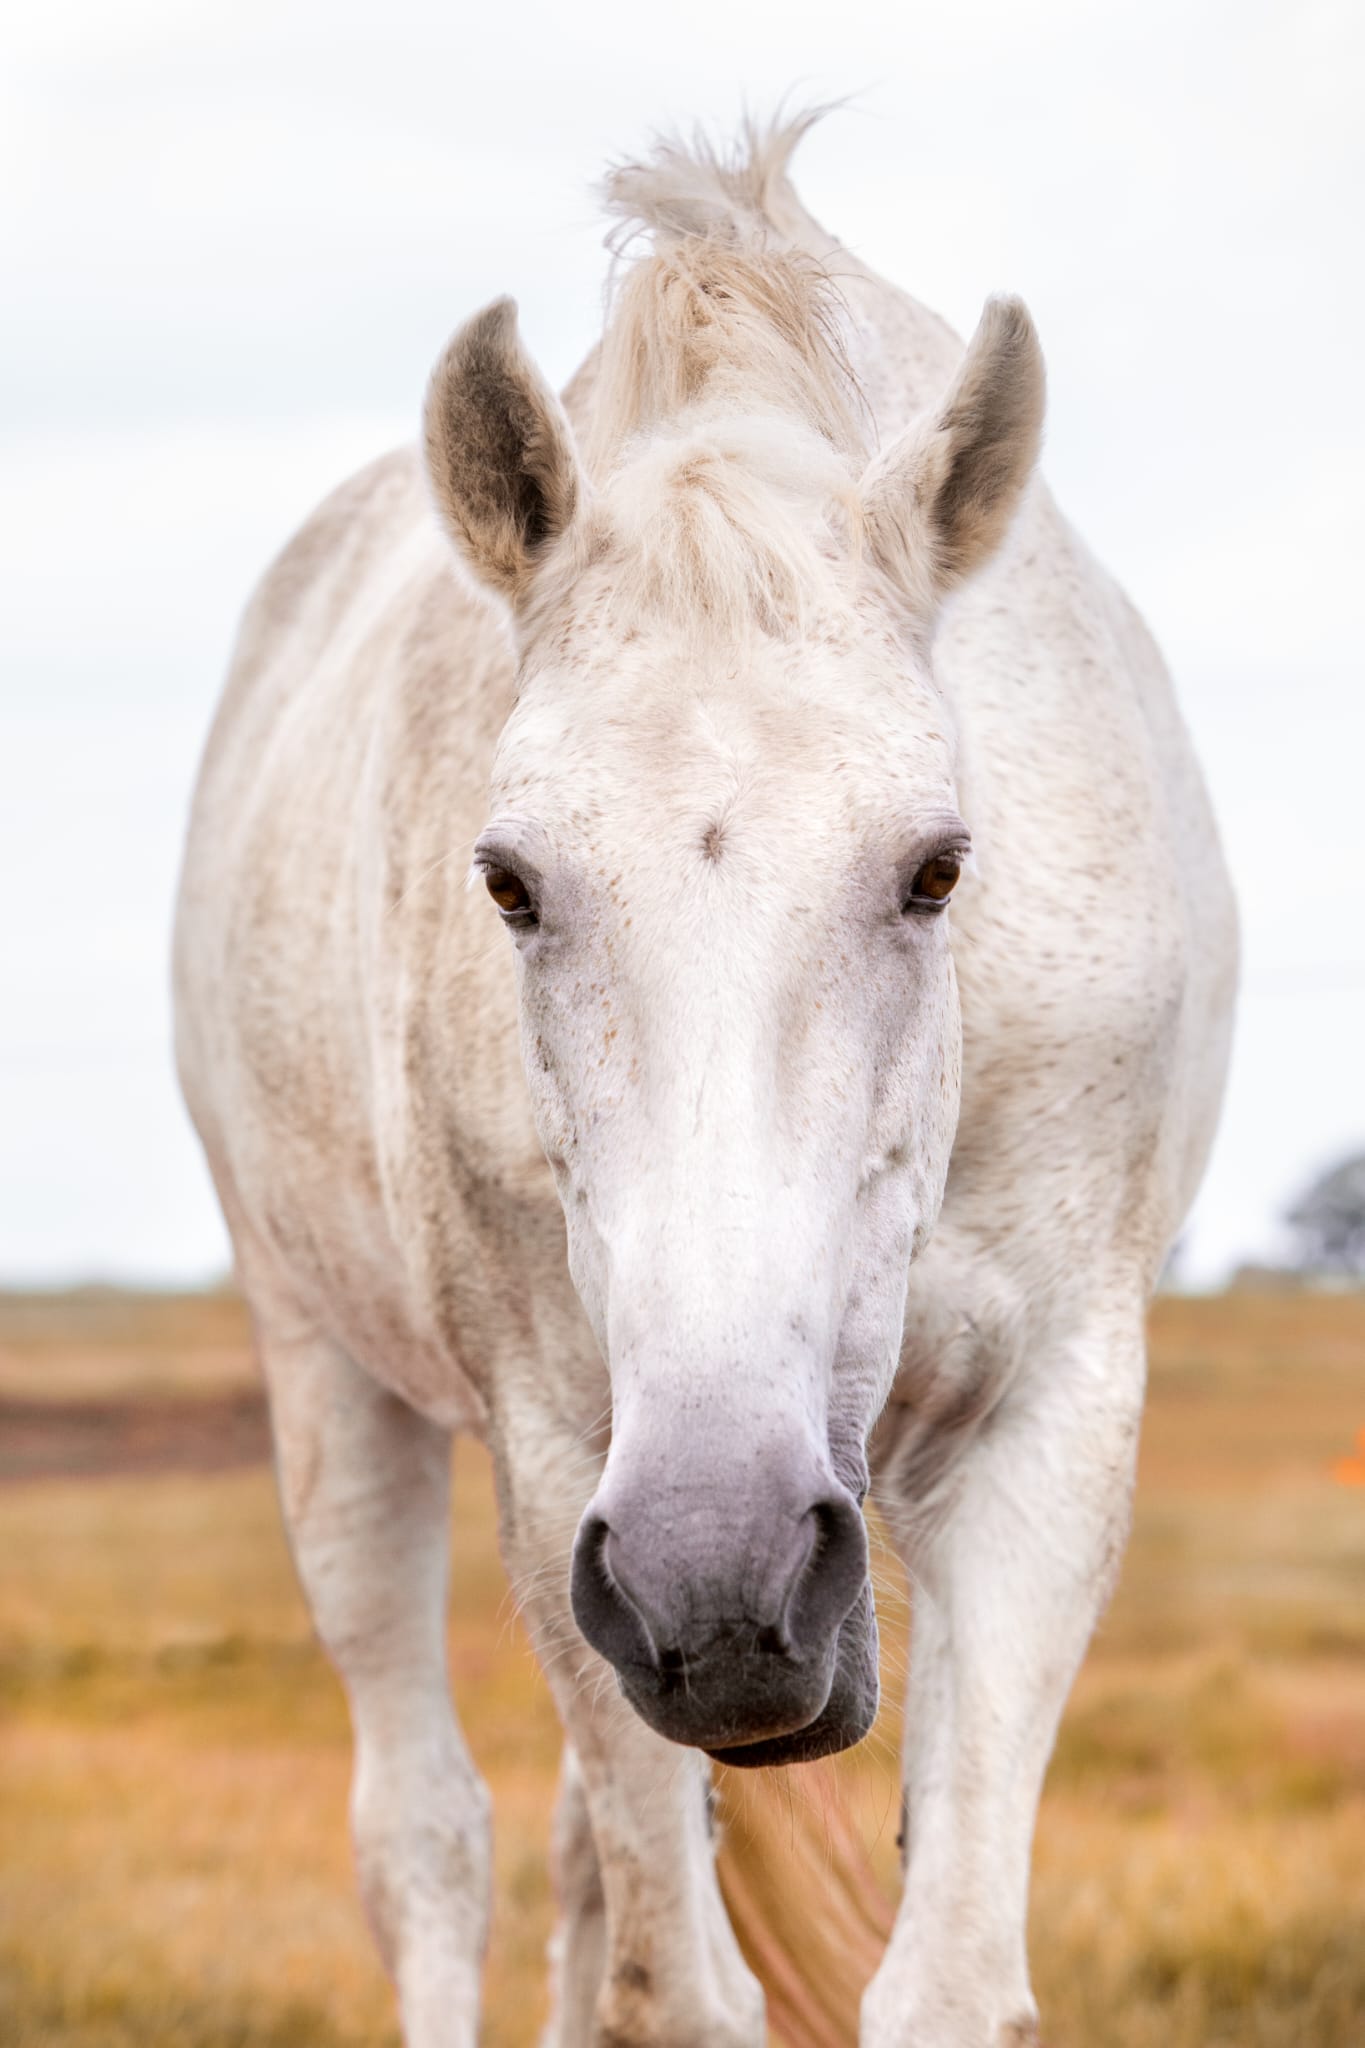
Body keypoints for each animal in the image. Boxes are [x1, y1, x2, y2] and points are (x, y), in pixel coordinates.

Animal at [173, 119, 1236, 2048]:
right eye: (508, 881)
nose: (721, 1568)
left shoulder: (1052, 1419)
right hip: (338, 1386)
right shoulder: (560, 1457)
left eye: (939, 868)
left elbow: (942, 1976)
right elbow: (670, 1985)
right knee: (429, 1839)